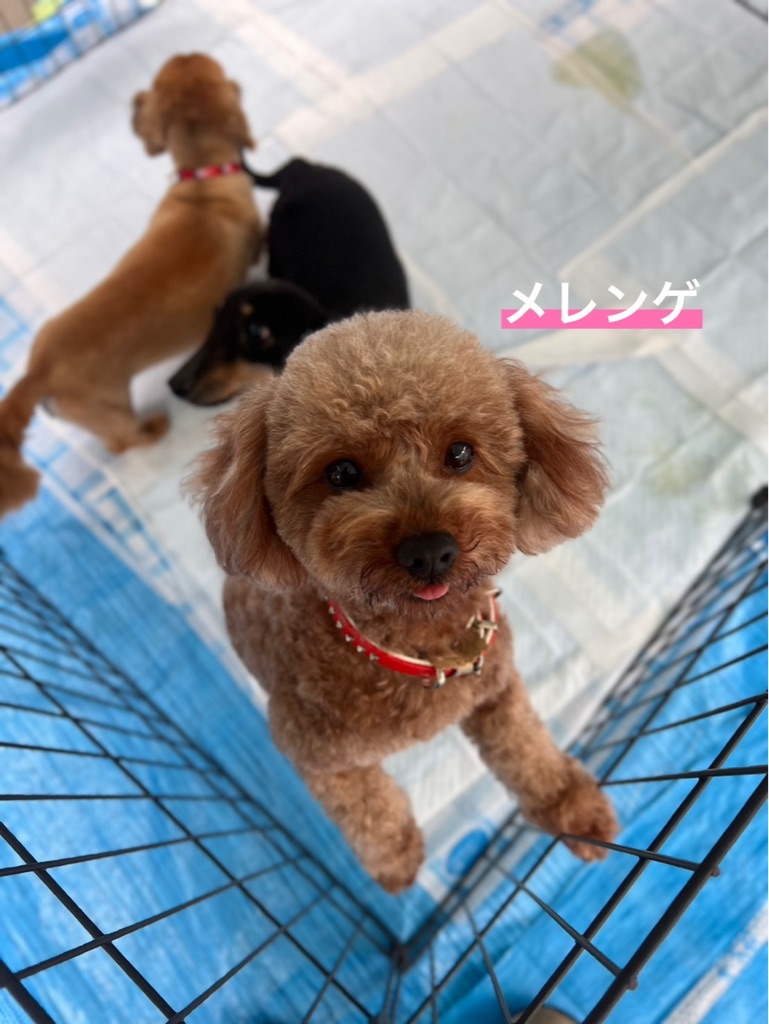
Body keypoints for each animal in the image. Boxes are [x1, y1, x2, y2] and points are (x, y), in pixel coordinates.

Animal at [0, 53, 262, 518]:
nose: (133, 104)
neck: (202, 184)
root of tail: (36, 371)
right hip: (114, 409)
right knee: (123, 441)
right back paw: (153, 427)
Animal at [192, 310, 619, 893]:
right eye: (342, 473)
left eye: (460, 452)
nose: (430, 551)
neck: (418, 650)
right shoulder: (316, 756)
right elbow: (371, 811)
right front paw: (396, 861)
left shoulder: (498, 688)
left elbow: (528, 750)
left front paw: (572, 808)